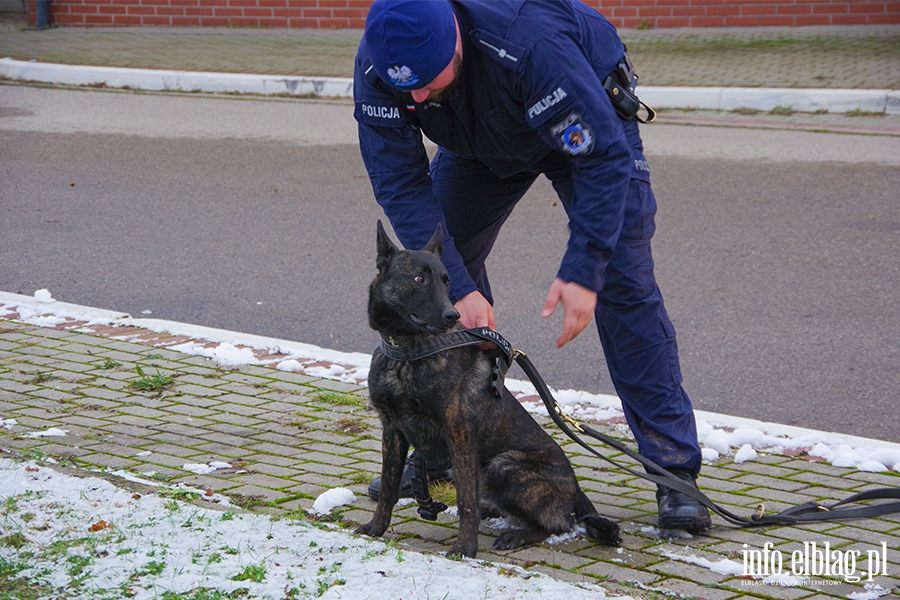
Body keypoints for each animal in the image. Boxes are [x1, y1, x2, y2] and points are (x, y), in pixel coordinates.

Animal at [356, 221, 624, 556]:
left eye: (446, 282)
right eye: (419, 279)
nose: (453, 315)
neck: (408, 353)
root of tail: (575, 489)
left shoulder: (459, 433)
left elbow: (465, 498)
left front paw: (465, 547)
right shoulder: (392, 430)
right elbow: (388, 487)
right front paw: (376, 528)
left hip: (503, 464)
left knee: (559, 525)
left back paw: (516, 535)